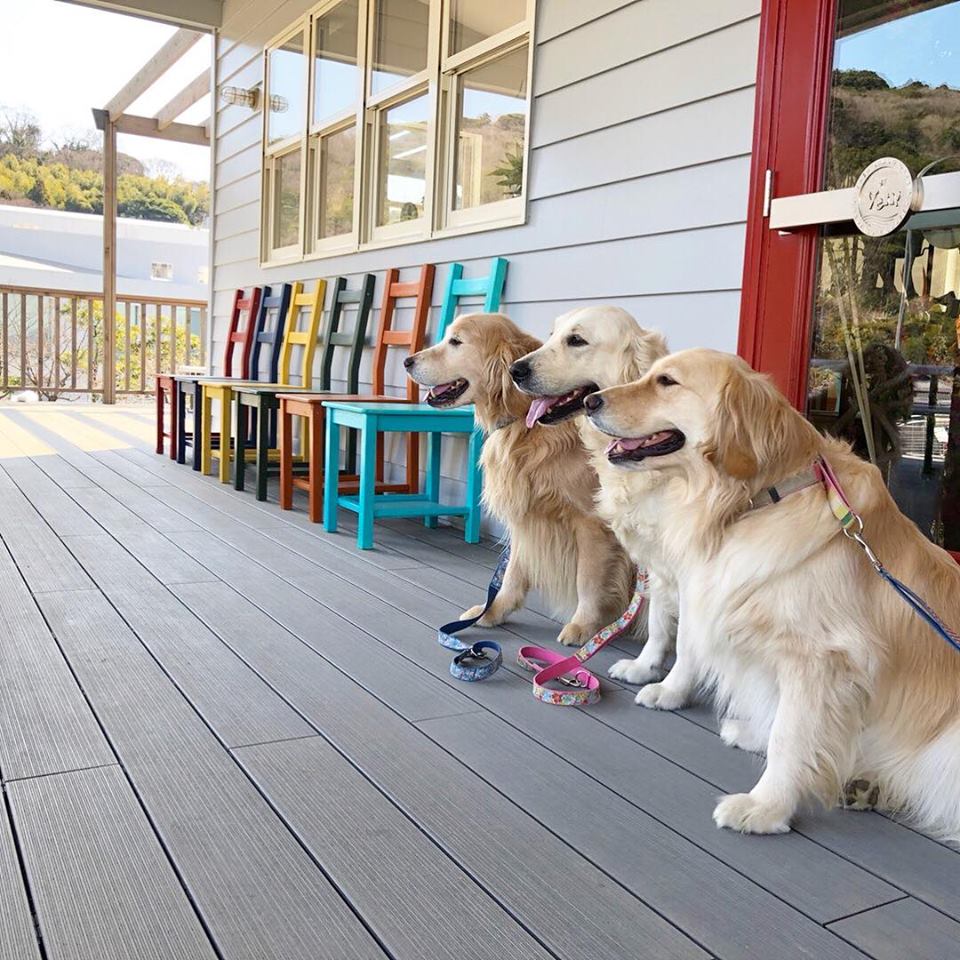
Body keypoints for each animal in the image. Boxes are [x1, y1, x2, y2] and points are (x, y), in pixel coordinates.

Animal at [404, 316, 636, 644]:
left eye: (455, 341)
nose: (406, 361)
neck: (528, 421)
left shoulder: (593, 523)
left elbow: (587, 580)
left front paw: (583, 625)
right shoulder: (527, 513)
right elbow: (513, 571)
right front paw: (492, 611)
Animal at [584, 346, 960, 840]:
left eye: (667, 381)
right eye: (650, 374)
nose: (588, 402)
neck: (754, 500)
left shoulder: (820, 658)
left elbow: (791, 733)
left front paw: (768, 807)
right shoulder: (709, 593)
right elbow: (701, 657)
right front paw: (678, 694)